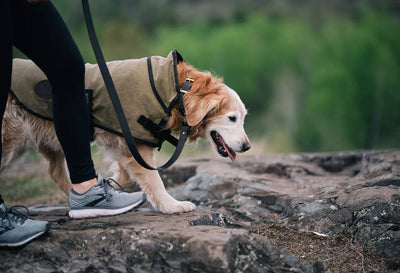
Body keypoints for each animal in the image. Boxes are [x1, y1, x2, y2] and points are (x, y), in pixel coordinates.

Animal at [1, 54, 250, 214]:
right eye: (232, 118)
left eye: (243, 118)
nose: (247, 147)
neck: (177, 91)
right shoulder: (137, 145)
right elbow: (155, 180)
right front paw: (172, 206)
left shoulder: (125, 144)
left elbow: (126, 173)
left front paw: (112, 185)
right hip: (11, 140)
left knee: (55, 172)